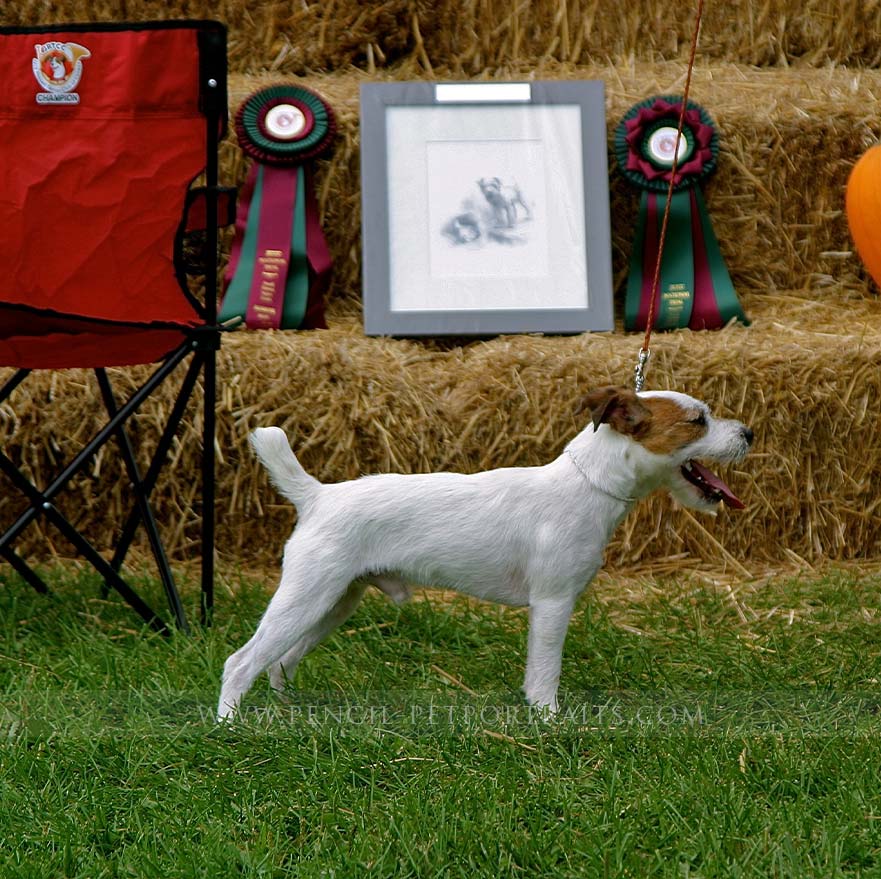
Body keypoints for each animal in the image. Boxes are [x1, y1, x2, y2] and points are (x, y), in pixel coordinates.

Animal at [217, 386, 752, 720]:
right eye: (698, 421)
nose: (748, 433)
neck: (586, 485)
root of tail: (316, 496)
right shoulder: (552, 604)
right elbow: (544, 673)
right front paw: (549, 720)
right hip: (307, 597)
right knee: (241, 663)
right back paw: (229, 727)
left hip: (332, 603)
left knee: (279, 662)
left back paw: (288, 712)